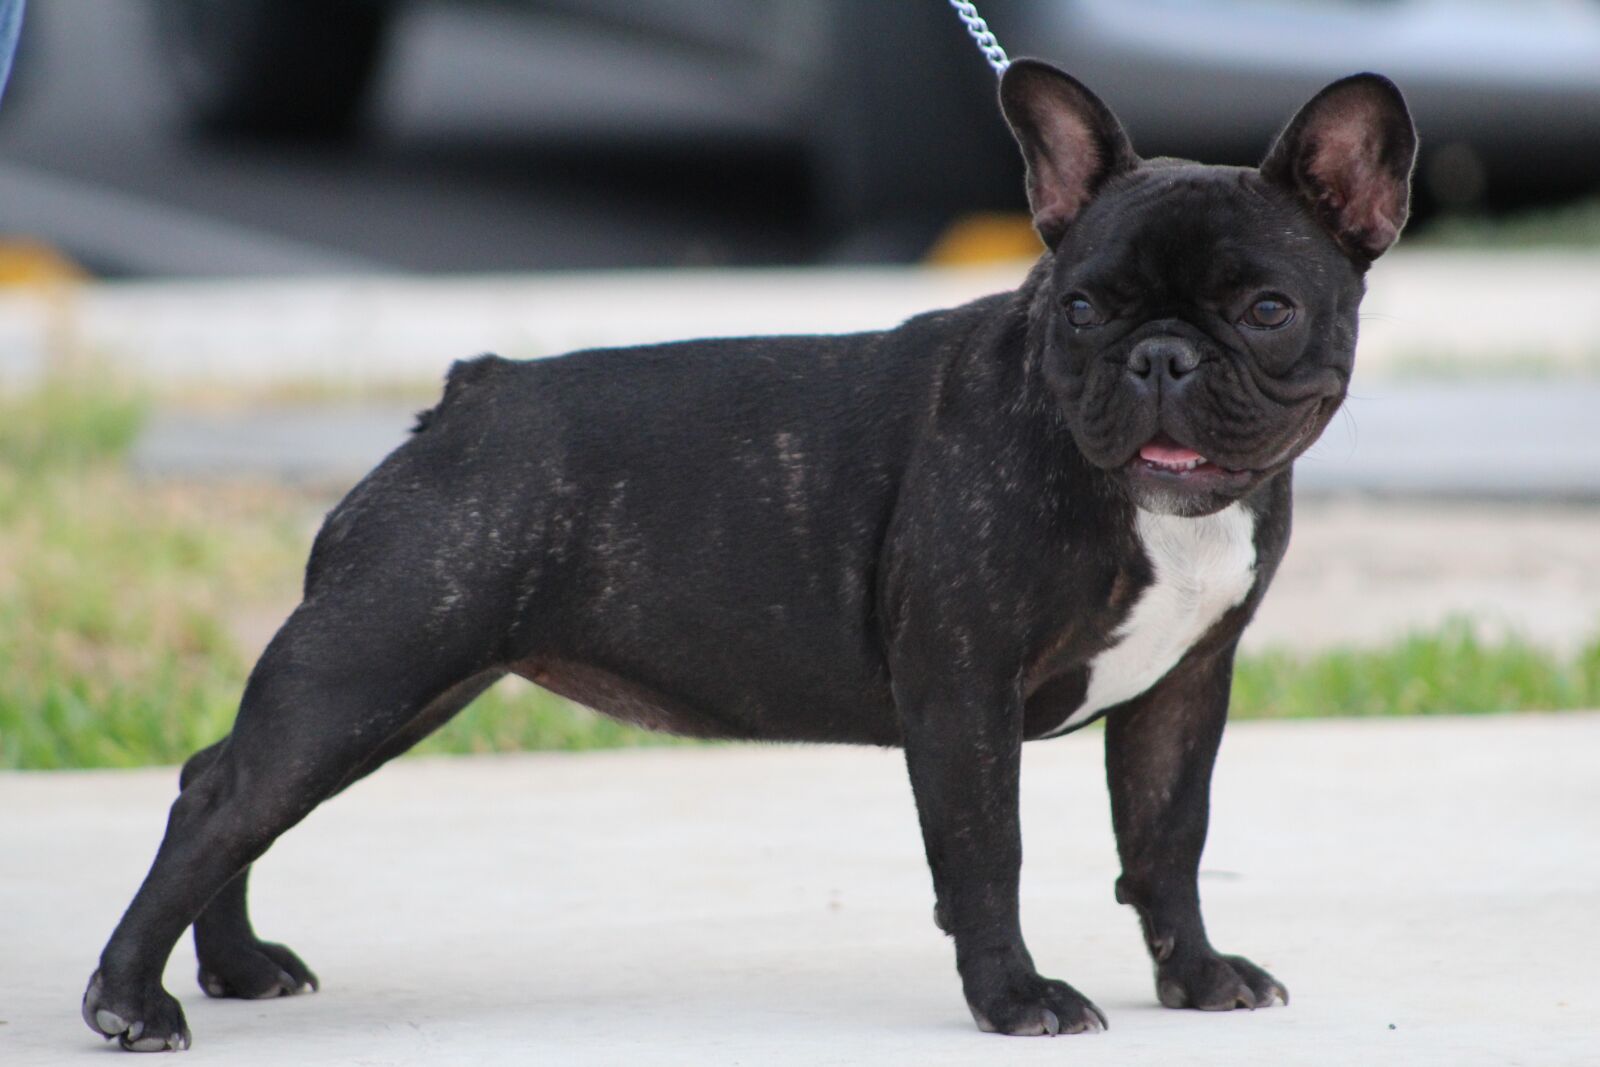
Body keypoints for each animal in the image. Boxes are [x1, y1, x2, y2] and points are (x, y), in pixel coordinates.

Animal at [87, 60, 1414, 1049]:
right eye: (1082, 307)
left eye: (1264, 310)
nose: (1160, 356)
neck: (1152, 510)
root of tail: (470, 397)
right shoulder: (962, 686)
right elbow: (989, 850)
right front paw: (1014, 999)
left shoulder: (1182, 690)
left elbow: (1167, 839)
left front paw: (1196, 976)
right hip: (371, 663)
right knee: (224, 796)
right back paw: (130, 999)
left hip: (405, 680)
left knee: (230, 786)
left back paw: (238, 965)